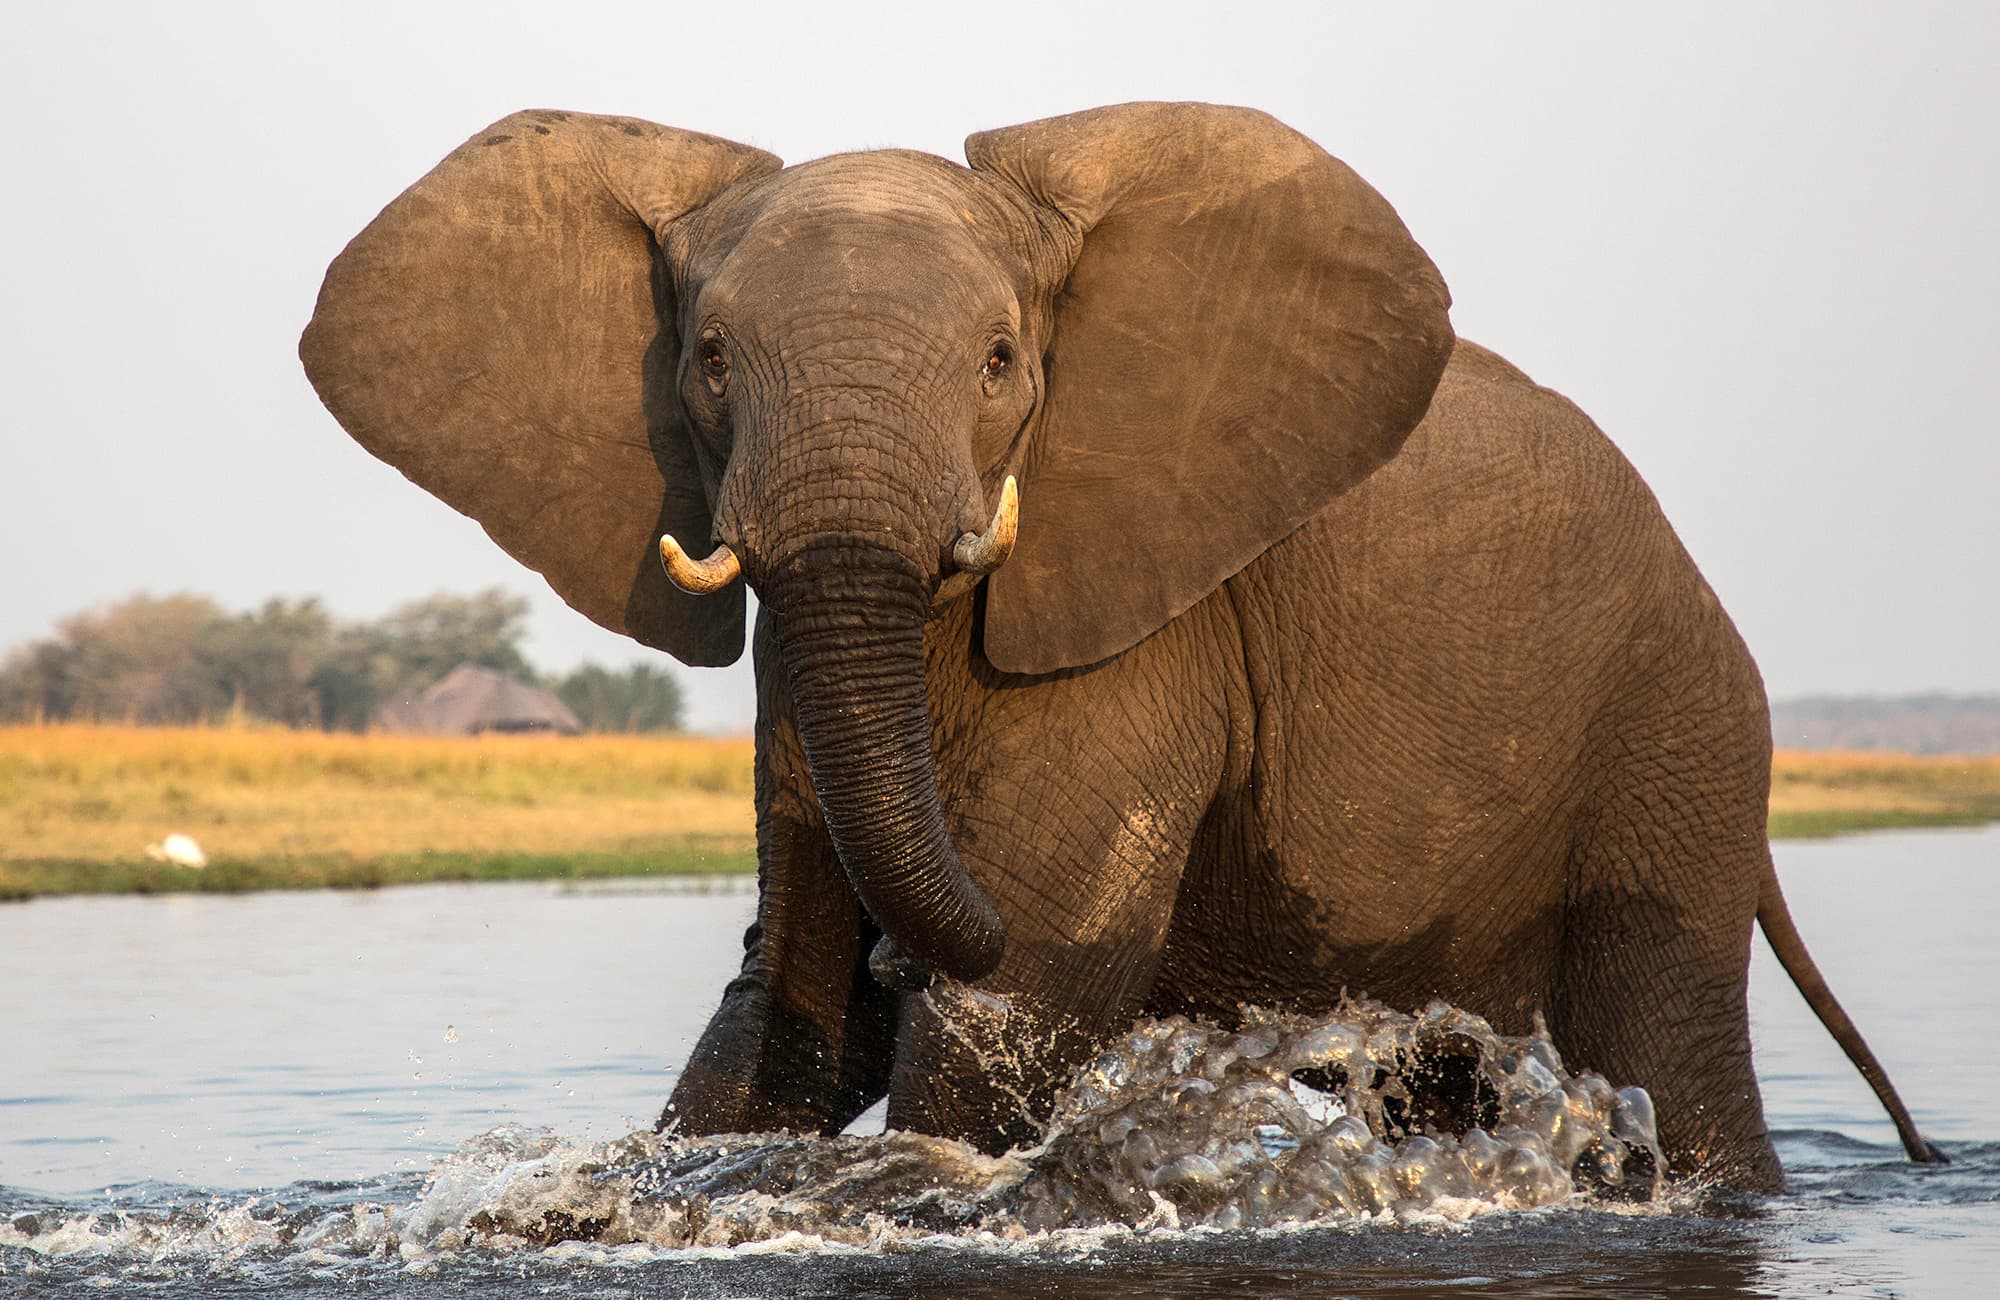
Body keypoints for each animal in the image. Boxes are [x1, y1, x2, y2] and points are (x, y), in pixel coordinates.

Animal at [300, 102, 1940, 1193]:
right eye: (705, 359)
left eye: (1000, 363)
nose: (900, 942)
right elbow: (784, 1013)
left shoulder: (1144, 623)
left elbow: (1026, 984)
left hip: (1676, 733)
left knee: (1667, 1042)